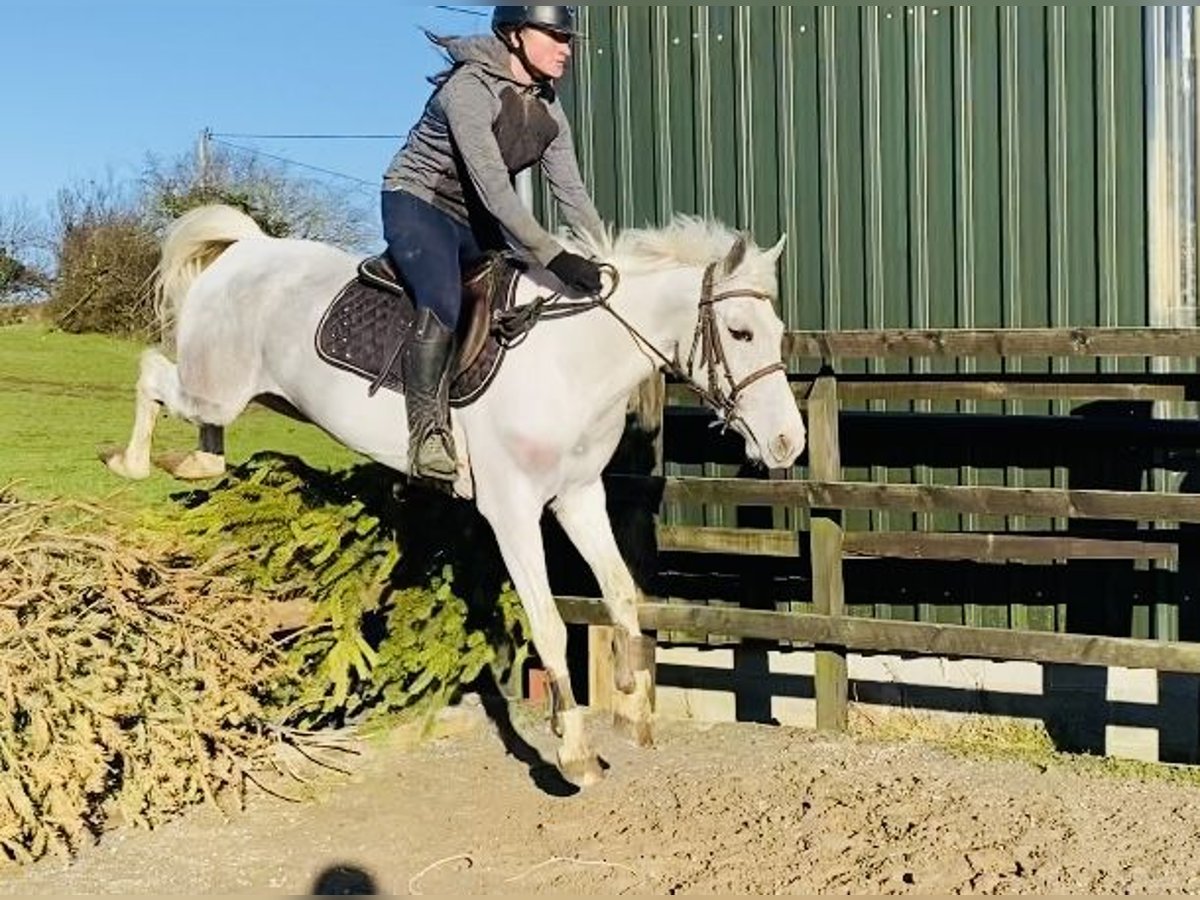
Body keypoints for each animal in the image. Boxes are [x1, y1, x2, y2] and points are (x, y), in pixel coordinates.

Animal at [100, 206, 806, 787]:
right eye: (740, 333)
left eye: (776, 331)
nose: (787, 443)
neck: (573, 360)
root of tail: (248, 249)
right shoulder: (515, 511)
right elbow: (550, 624)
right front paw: (574, 751)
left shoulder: (578, 498)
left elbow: (623, 596)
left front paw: (633, 709)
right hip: (213, 387)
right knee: (151, 373)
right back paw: (129, 462)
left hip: (238, 393)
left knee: (194, 422)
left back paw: (192, 463)